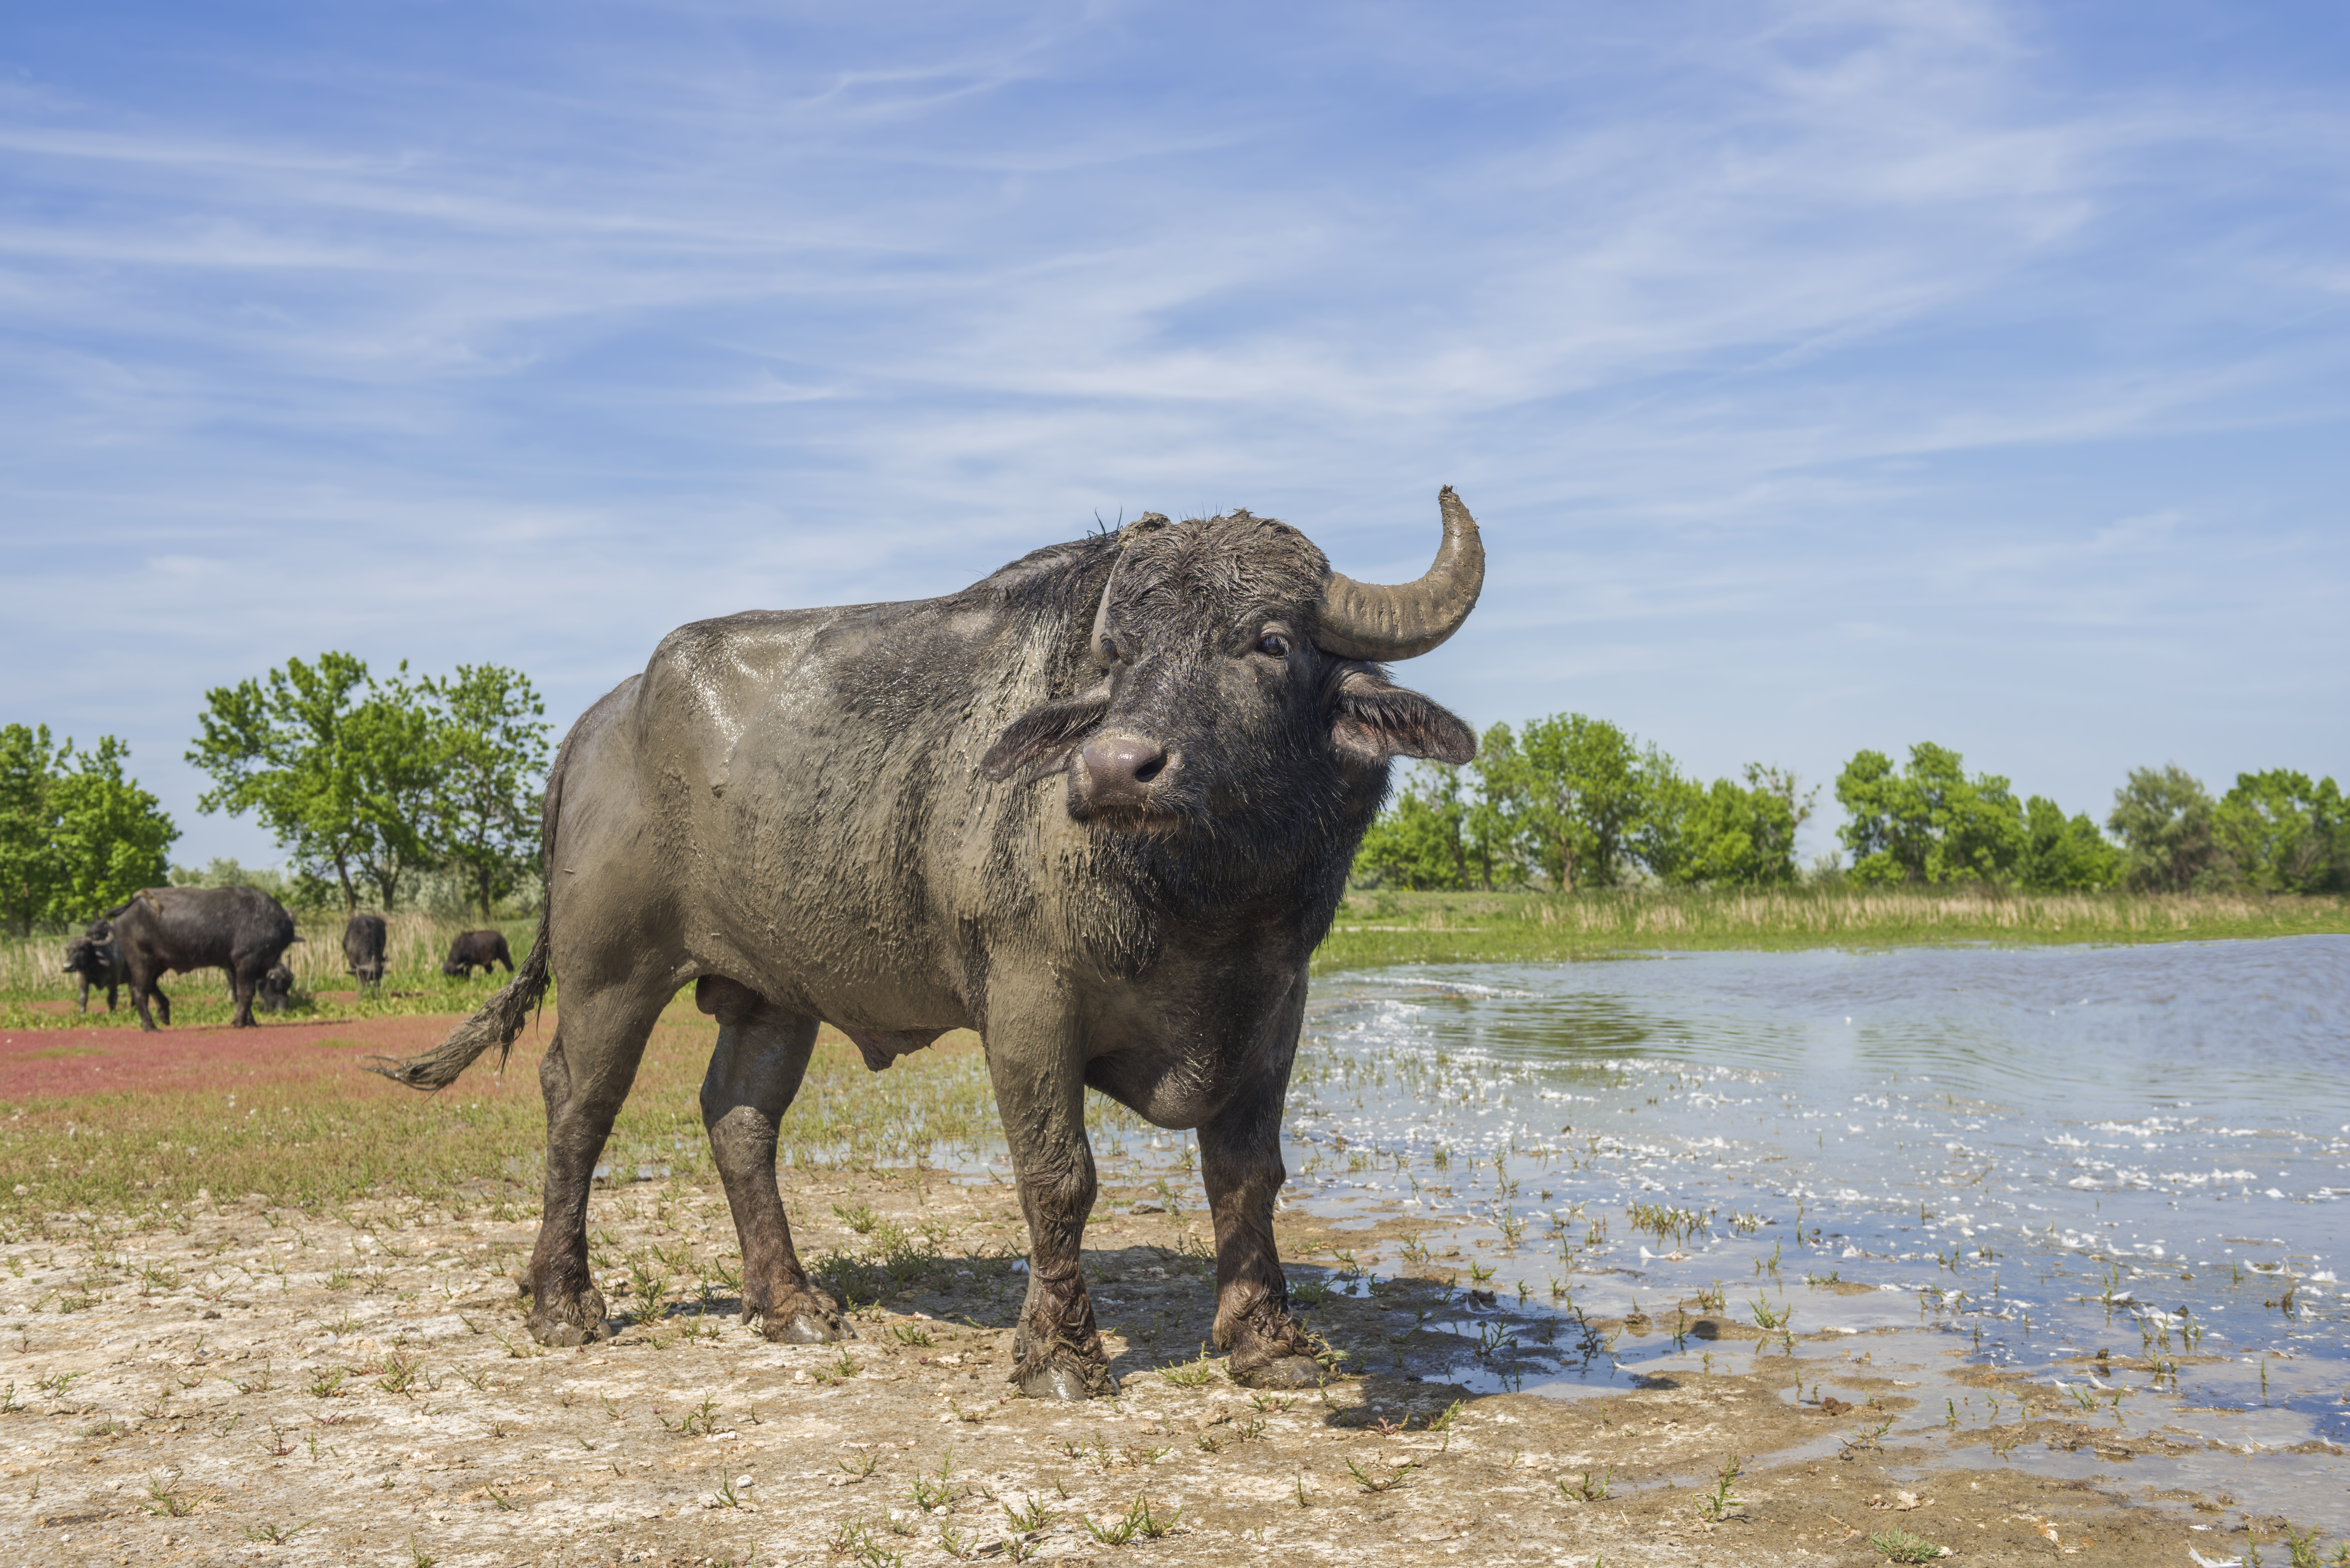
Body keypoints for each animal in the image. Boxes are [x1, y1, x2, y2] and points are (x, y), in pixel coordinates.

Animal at [61, 926, 128, 1011]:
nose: (67, 967)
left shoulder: (115, 979)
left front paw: (112, 1012)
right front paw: (82, 1012)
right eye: (68, 950)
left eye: (84, 948)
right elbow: (83, 997)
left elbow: (112, 998)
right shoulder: (83, 978)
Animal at [109, 888, 303, 1034]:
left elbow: (239, 993)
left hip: (160, 962)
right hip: (141, 961)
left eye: (289, 984)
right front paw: (239, 1022)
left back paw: (164, 1012)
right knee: (140, 991)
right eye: (278, 983)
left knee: (150, 986)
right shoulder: (247, 961)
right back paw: (151, 1026)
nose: (284, 1010)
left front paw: (250, 1021)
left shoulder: (234, 968)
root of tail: (131, 905)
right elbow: (247, 993)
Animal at [442, 931, 517, 983]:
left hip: (504, 955)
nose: (449, 981)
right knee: (490, 970)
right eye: (444, 974)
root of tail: (502, 938)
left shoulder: (470, 964)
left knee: (509, 966)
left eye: (453, 974)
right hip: (487, 962)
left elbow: (467, 974)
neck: (462, 947)